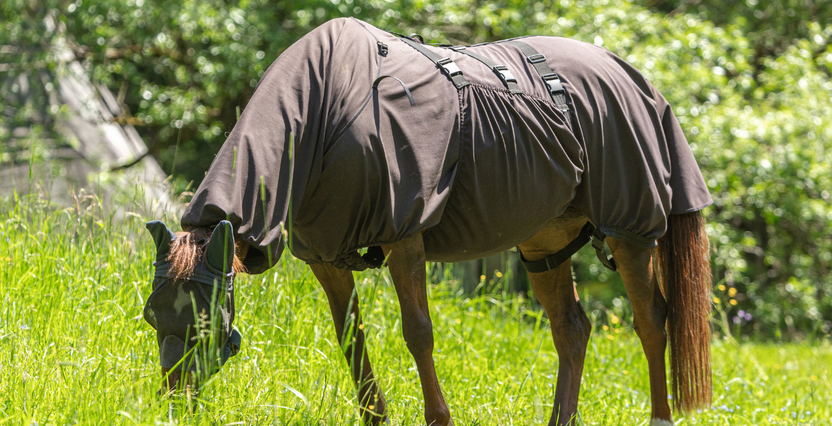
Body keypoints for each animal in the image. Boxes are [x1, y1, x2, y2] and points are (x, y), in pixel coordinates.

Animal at [142, 18, 713, 426]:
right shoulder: (327, 255)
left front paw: (438, 418)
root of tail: (633, 76)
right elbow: (350, 337)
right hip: (544, 242)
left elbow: (418, 334)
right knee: (571, 330)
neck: (328, 111)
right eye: (151, 318)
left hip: (629, 228)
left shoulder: (404, 236)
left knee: (651, 321)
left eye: (203, 323)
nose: (170, 408)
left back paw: (660, 416)